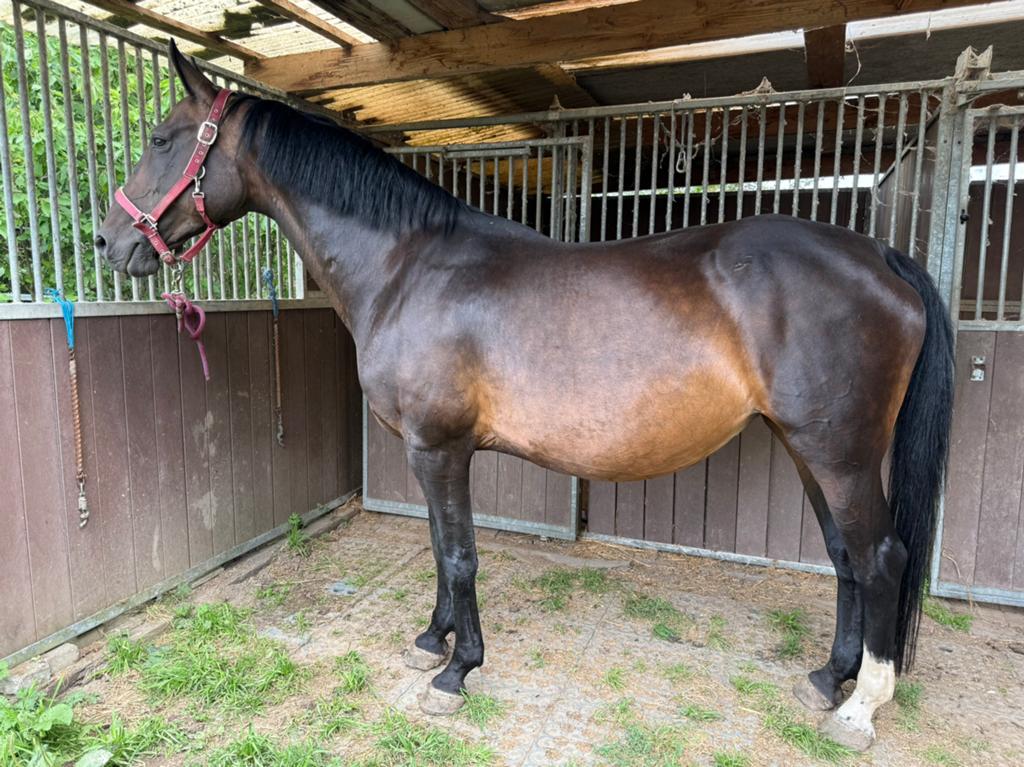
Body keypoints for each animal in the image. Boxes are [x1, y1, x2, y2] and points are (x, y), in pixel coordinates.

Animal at [95, 41, 954, 752]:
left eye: (163, 138)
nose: (111, 241)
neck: (408, 266)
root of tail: (880, 254)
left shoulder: (438, 447)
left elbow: (459, 554)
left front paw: (456, 671)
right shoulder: (431, 454)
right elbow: (439, 552)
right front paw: (433, 639)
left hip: (839, 453)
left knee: (881, 556)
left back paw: (861, 706)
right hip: (807, 447)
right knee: (845, 557)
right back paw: (829, 678)